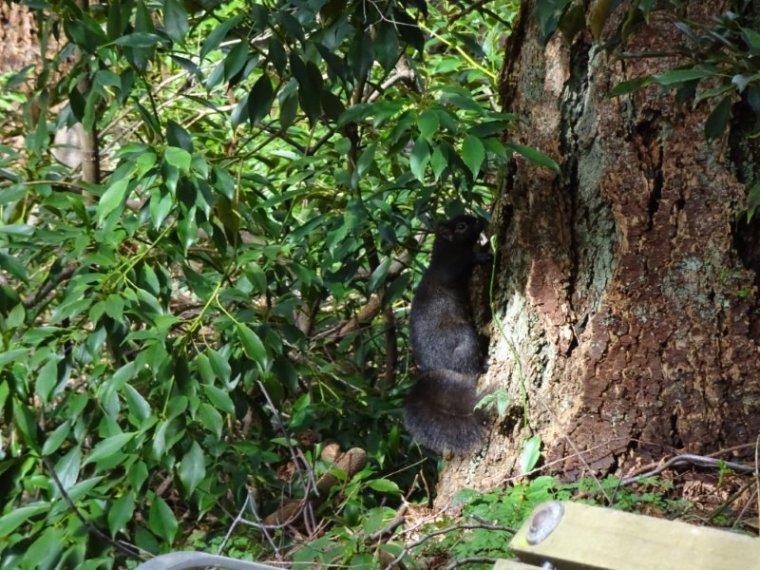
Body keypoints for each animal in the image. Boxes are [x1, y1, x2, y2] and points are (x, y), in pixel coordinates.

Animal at [405, 215, 491, 454]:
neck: (447, 248)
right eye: (461, 226)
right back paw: (484, 363)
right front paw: (484, 253)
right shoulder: (451, 267)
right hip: (463, 337)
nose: (481, 220)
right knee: (470, 369)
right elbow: (467, 262)